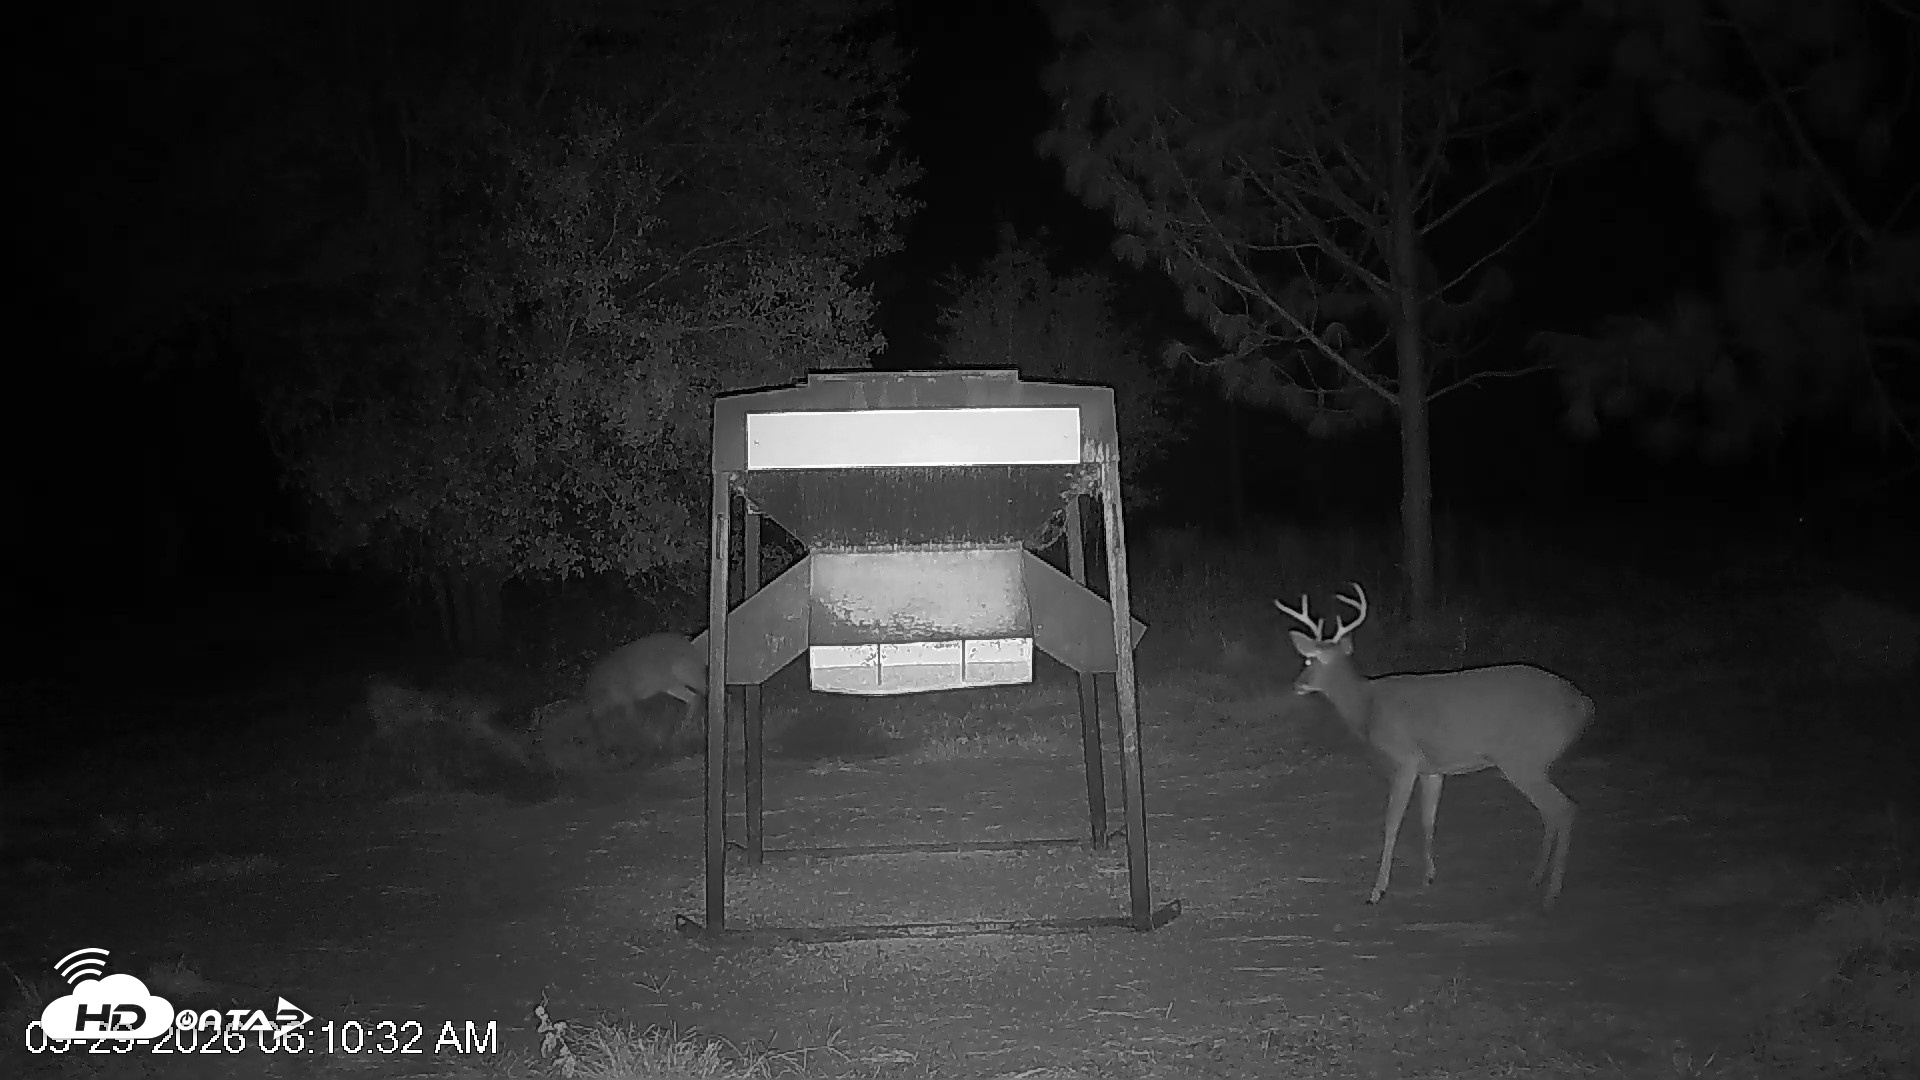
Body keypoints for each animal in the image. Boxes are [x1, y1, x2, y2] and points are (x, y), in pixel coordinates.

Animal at [1275, 584, 1595, 911]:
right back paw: (1535, 879)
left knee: (1564, 808)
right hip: (1533, 763)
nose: (1297, 684)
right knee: (1551, 812)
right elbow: (1428, 820)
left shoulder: (1405, 758)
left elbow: (1392, 823)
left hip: (1524, 758)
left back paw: (1551, 892)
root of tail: (1584, 704)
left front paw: (1377, 891)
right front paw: (1428, 876)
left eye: (1309, 661)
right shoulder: (1432, 769)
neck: (1368, 708)